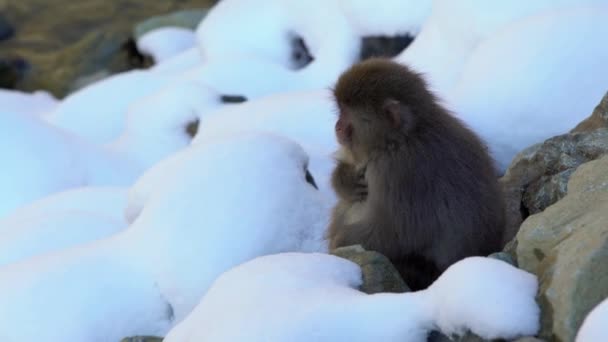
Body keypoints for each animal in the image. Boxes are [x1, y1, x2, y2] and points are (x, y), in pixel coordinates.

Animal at [326, 58, 506, 292]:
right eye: (340, 109)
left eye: (347, 112)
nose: (337, 126)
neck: (400, 139)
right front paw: (345, 180)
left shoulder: (398, 173)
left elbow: (397, 232)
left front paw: (340, 241)